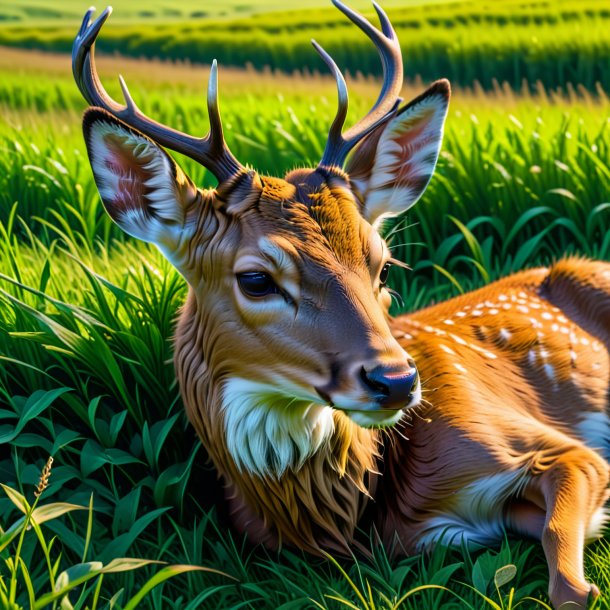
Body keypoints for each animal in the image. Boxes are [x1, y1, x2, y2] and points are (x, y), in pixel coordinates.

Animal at [72, 2, 608, 604]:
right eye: (256, 279)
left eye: (382, 263)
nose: (397, 381)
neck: (363, 514)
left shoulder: (532, 441)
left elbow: (567, 568)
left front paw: (583, 587)